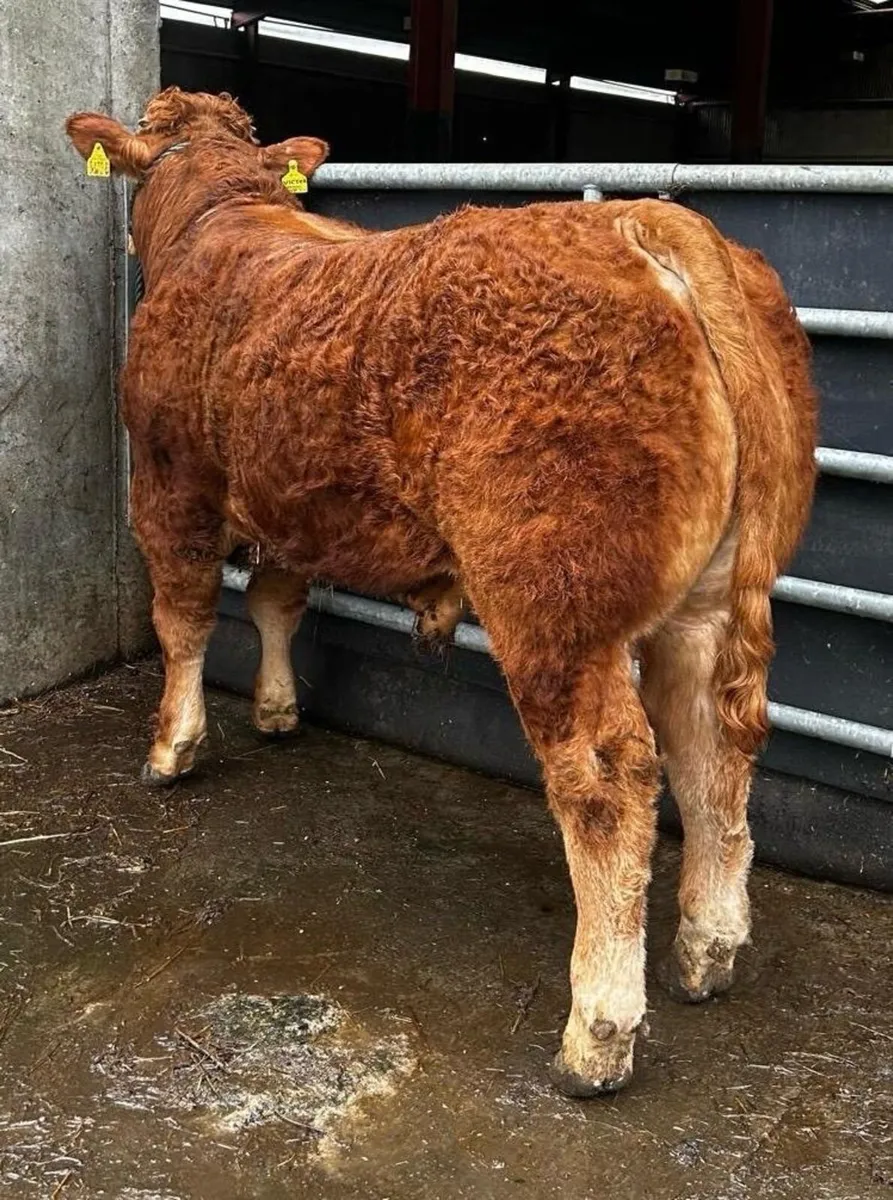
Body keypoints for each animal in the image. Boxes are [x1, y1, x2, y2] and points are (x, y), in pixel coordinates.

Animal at [66, 87, 817, 1098]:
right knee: (713, 754)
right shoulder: (299, 497)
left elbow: (182, 620)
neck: (223, 217)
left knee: (611, 783)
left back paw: (597, 1032)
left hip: (551, 605)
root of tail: (639, 217)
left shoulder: (169, 481)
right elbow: (275, 601)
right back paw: (706, 946)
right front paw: (276, 709)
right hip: (702, 605)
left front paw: (172, 746)